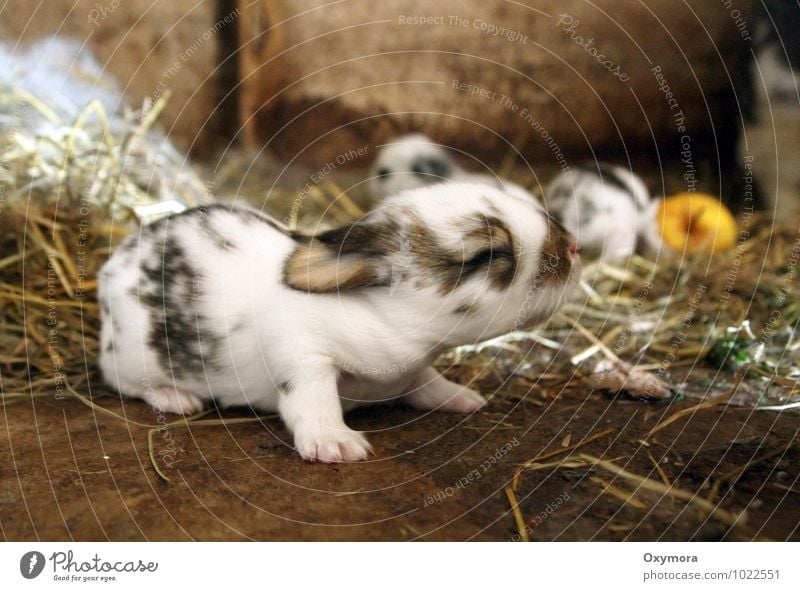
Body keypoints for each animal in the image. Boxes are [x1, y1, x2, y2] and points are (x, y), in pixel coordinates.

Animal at [98, 182, 580, 462]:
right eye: (488, 255)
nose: (575, 248)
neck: (389, 321)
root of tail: (110, 270)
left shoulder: (414, 368)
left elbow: (426, 382)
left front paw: (462, 398)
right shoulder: (303, 354)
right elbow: (314, 399)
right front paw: (336, 443)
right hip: (132, 358)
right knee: (123, 382)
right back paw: (175, 398)